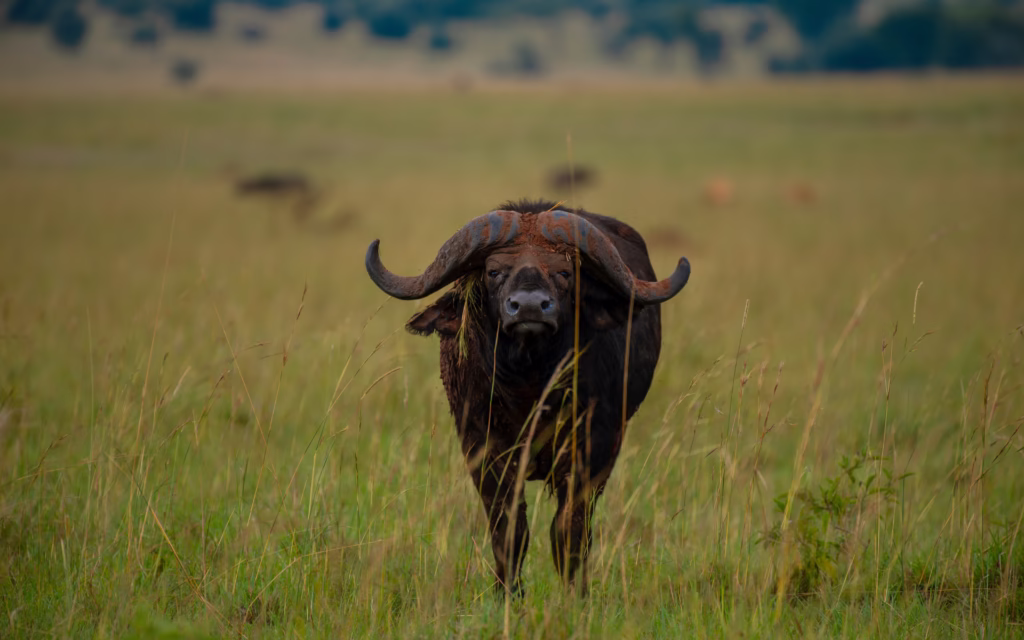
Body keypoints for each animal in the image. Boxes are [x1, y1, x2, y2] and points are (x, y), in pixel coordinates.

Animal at [365, 199, 690, 596]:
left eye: (565, 272)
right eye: (494, 272)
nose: (531, 307)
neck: (530, 389)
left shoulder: (594, 450)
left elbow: (569, 532)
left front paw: (575, 595)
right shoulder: (482, 449)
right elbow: (509, 531)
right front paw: (507, 594)